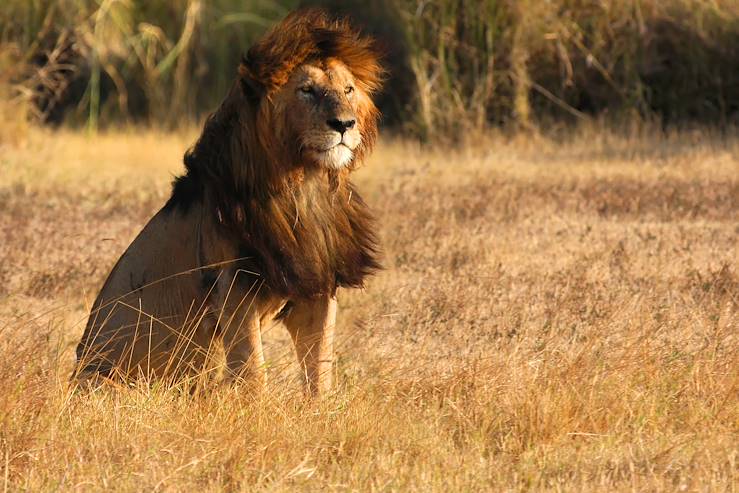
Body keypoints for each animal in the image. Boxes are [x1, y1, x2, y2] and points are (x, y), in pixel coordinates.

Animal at [73, 10, 384, 396]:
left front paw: (322, 408)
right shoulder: (234, 286)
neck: (304, 184)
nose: (344, 124)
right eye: (307, 90)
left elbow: (320, 367)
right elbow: (253, 370)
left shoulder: (317, 283)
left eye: (348, 90)